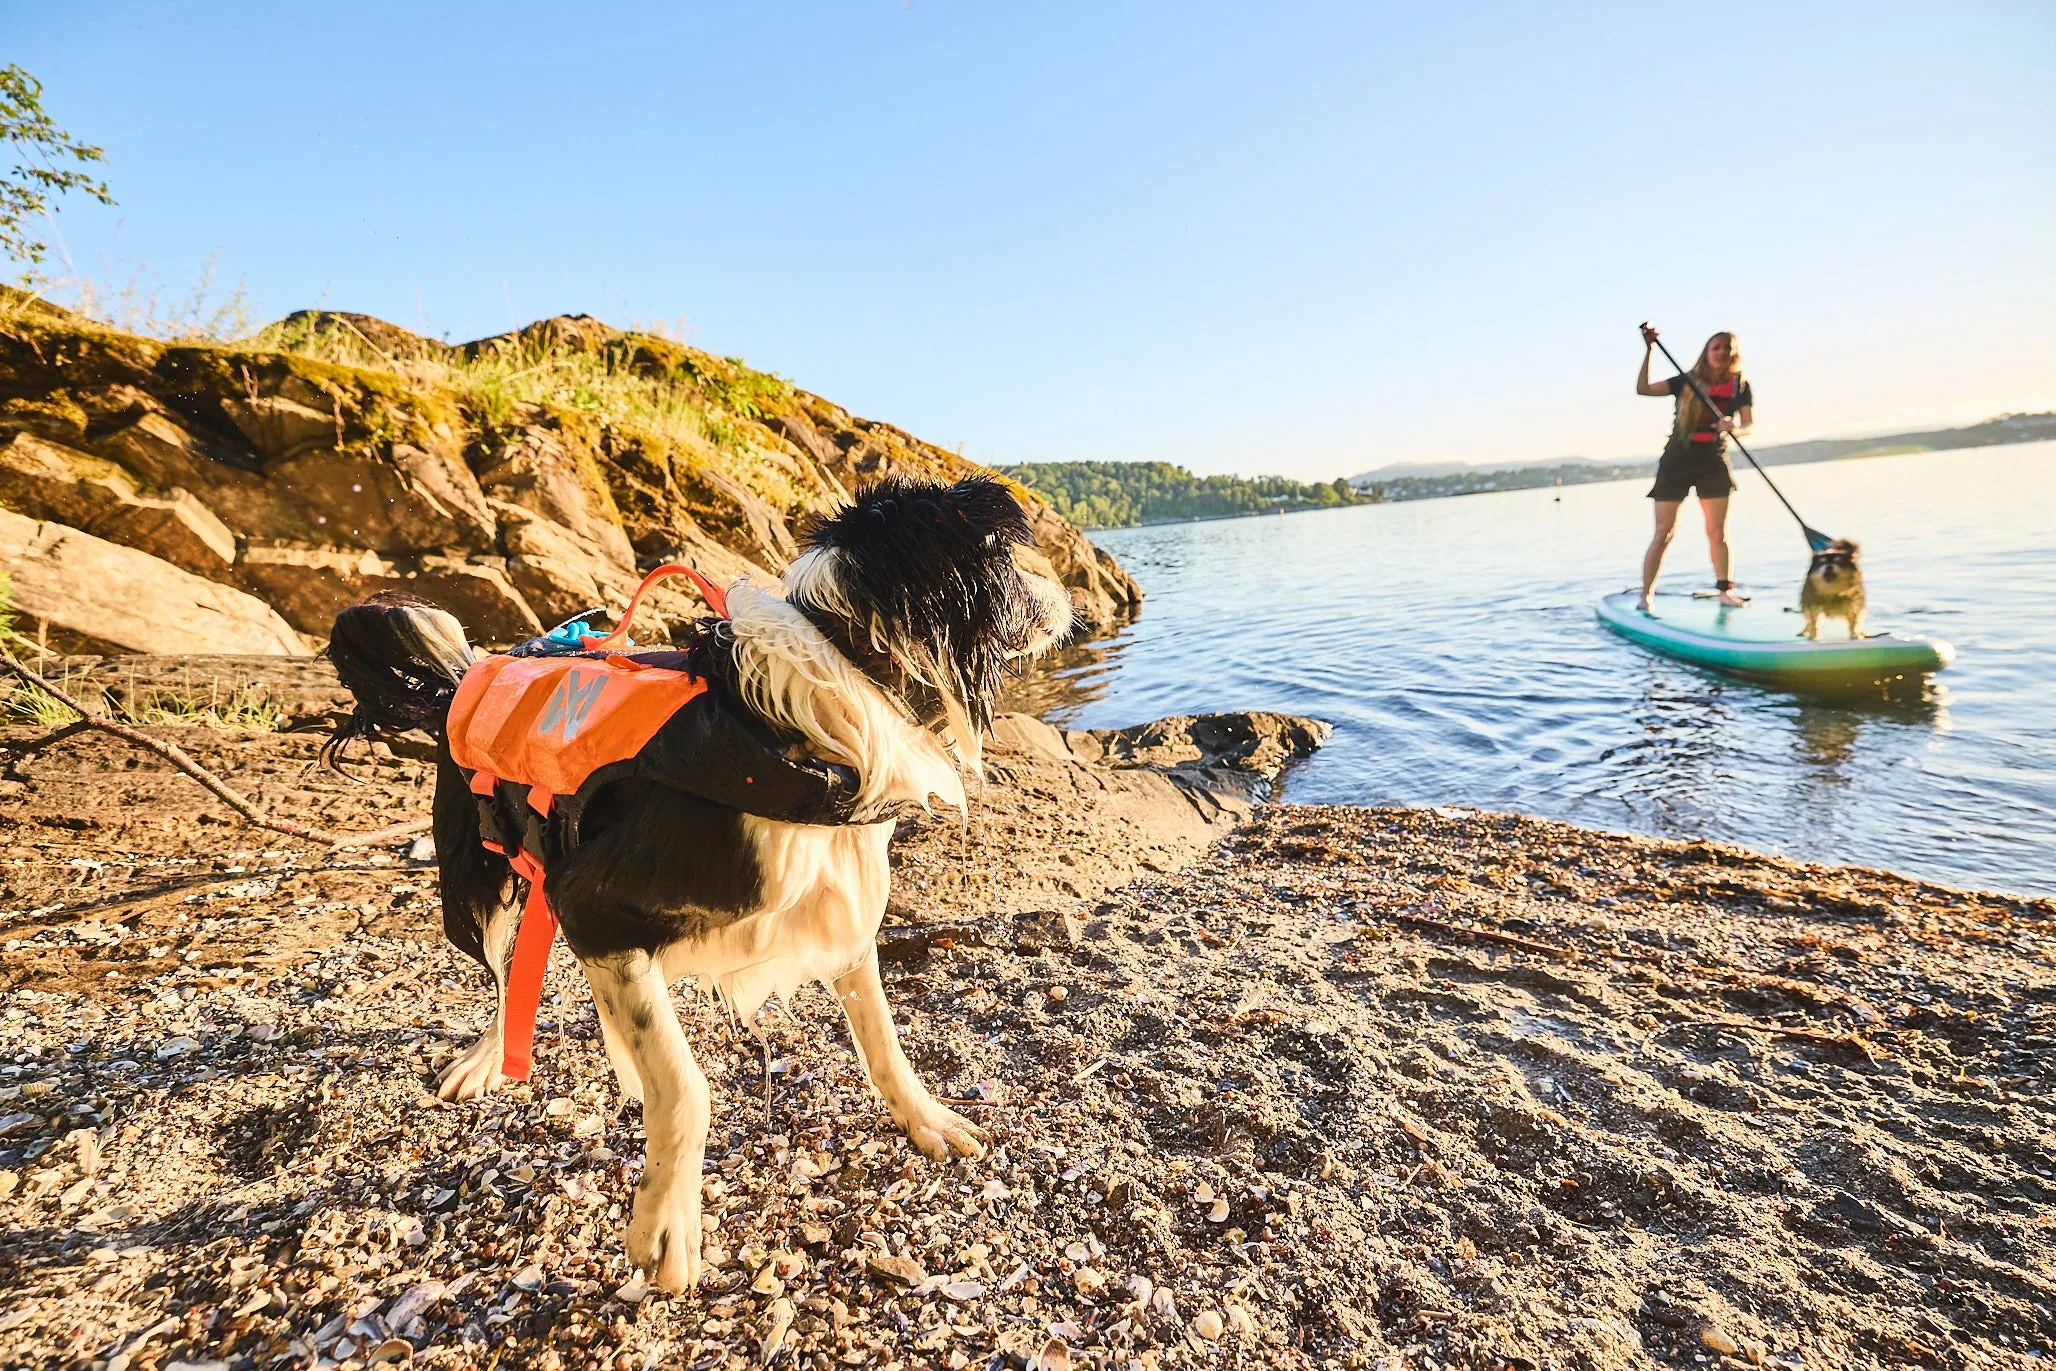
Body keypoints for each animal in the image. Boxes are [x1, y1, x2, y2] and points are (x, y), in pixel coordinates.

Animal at [328, 476, 1069, 1290]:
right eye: (1006, 554)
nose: (1067, 593)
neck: (796, 726)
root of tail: (471, 671)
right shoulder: (592, 901)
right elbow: (684, 1084)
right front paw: (666, 1225)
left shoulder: (840, 911)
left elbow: (882, 1038)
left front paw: (925, 1118)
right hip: (480, 882)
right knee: (502, 974)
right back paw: (490, 1057)